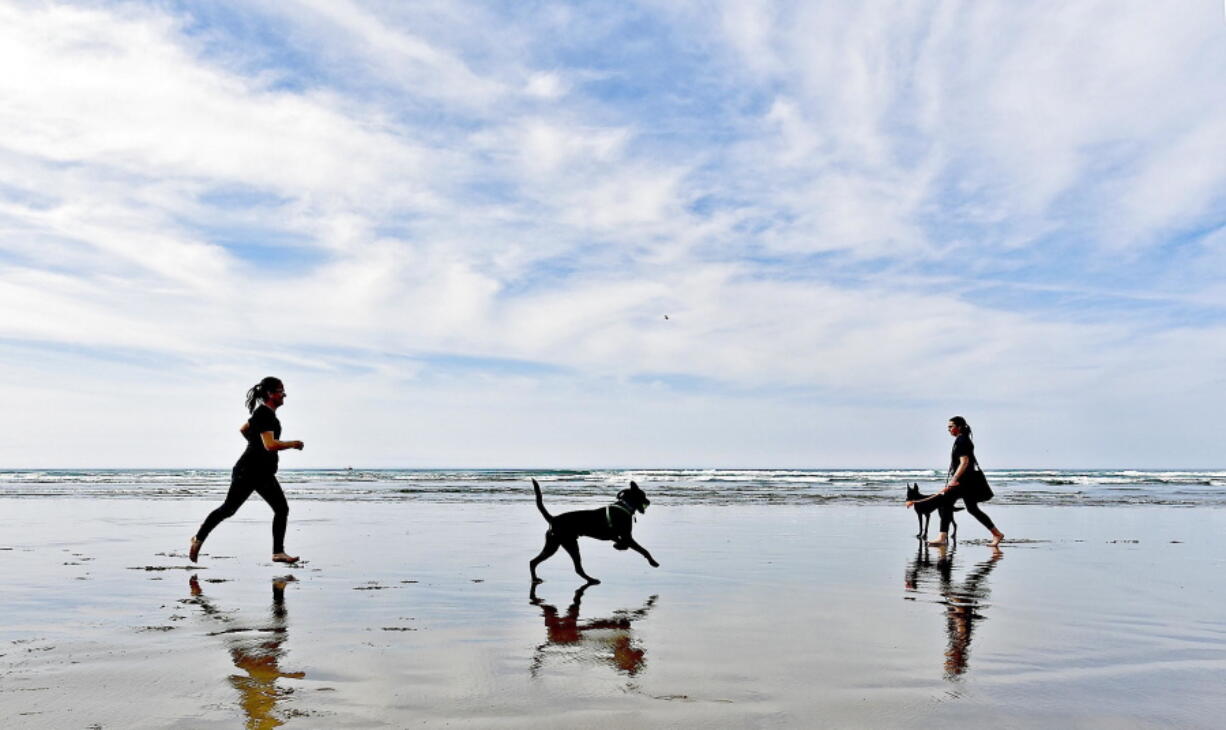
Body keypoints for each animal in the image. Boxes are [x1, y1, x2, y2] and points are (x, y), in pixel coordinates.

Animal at [529, 476, 662, 586]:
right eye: (643, 495)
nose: (649, 501)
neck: (625, 505)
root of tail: (553, 519)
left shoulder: (621, 537)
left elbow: (624, 543)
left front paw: (618, 546)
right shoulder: (627, 536)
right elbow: (643, 550)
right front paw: (653, 562)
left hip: (554, 545)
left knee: (533, 561)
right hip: (568, 544)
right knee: (576, 568)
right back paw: (591, 580)